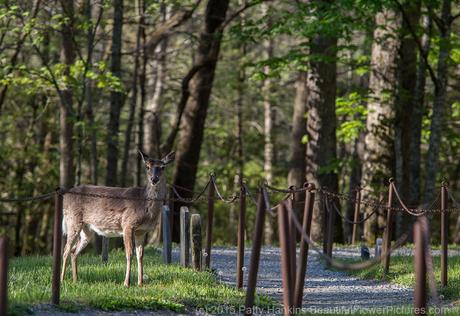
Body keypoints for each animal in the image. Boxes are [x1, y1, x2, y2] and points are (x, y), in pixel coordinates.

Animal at [61, 151, 176, 286]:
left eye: (163, 167)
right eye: (147, 167)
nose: (154, 179)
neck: (145, 207)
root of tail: (65, 196)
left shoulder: (141, 231)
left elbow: (140, 255)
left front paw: (140, 283)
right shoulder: (127, 224)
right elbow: (129, 253)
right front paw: (126, 283)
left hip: (87, 229)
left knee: (74, 251)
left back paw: (76, 280)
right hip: (73, 220)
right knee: (66, 249)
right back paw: (62, 280)